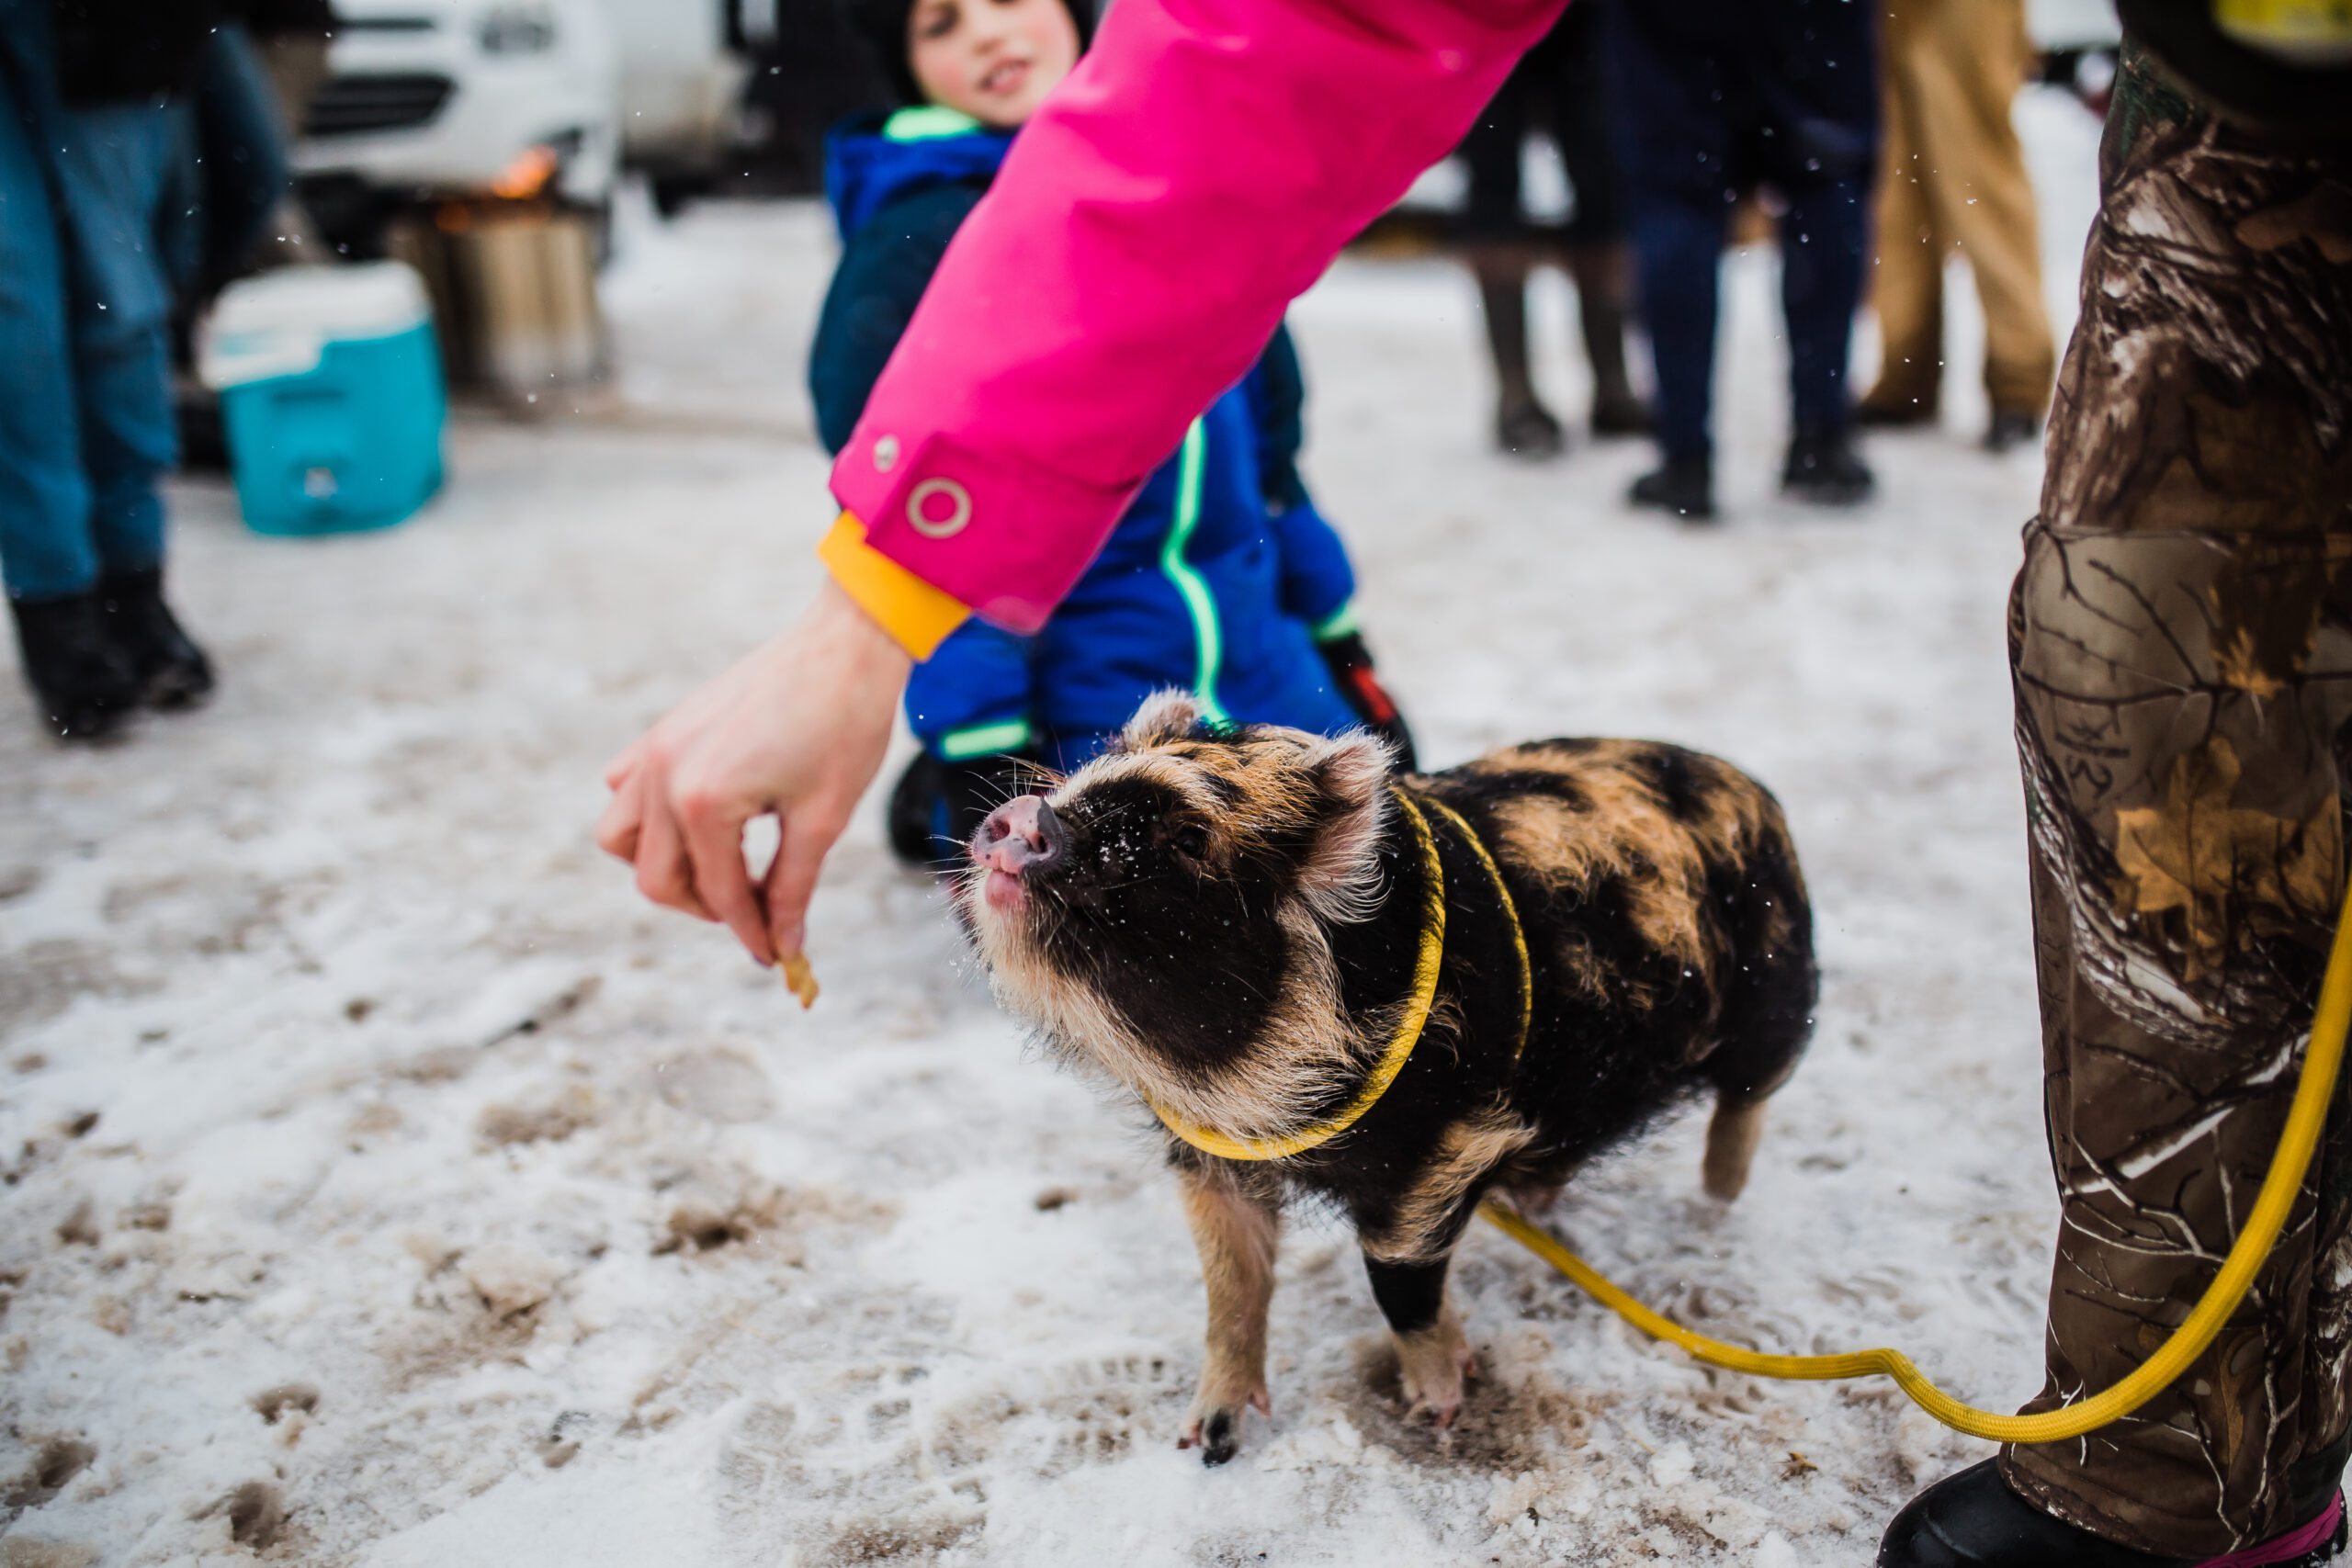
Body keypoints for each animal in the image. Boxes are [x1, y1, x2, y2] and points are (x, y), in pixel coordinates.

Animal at [955, 691, 1815, 1466]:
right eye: (1086, 777)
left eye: (1194, 836)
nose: (1027, 816)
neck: (1261, 1101)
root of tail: (1755, 792)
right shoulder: (1211, 1163)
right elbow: (1230, 1291)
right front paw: (1204, 1442)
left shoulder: (1440, 1158)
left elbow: (1397, 1286)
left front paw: (1439, 1410)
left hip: (1777, 1004)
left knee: (1747, 1106)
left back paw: (1717, 1202)